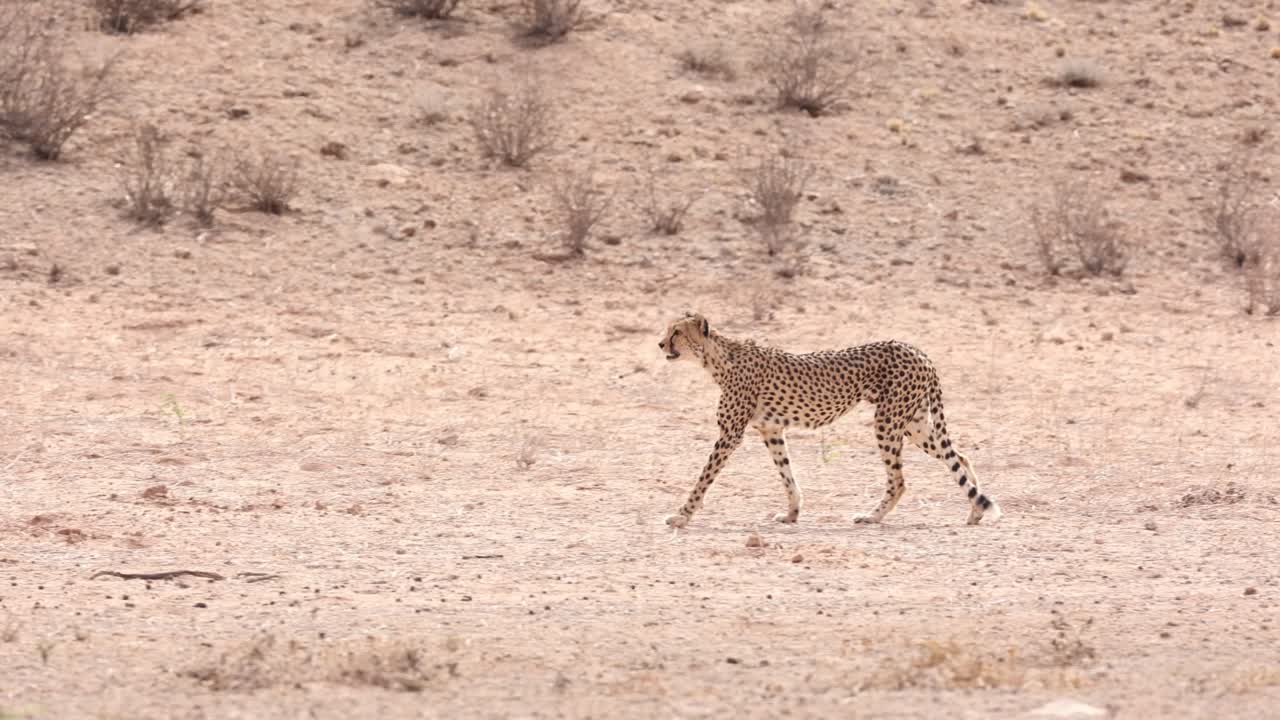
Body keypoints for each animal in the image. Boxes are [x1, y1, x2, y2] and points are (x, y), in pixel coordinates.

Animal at [657, 312, 1001, 528]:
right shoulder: (771, 429)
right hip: (912, 422)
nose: (661, 344)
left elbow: (703, 478)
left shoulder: (730, 434)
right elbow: (787, 475)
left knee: (900, 480)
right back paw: (975, 511)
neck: (718, 358)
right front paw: (792, 514)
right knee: (960, 457)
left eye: (677, 332)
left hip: (888, 421)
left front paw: (681, 516)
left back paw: (873, 517)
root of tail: (916, 350)